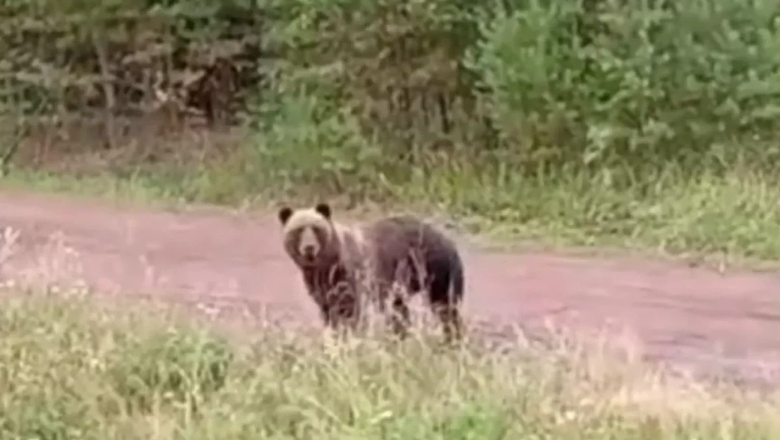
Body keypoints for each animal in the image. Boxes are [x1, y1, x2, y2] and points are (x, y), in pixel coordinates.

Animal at [278, 202, 465, 342]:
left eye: (315, 228)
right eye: (298, 230)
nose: (309, 248)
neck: (327, 265)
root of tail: (447, 239)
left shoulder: (353, 276)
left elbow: (351, 311)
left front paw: (350, 337)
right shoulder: (321, 287)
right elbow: (329, 313)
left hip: (434, 268)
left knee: (445, 305)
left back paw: (452, 339)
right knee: (401, 310)